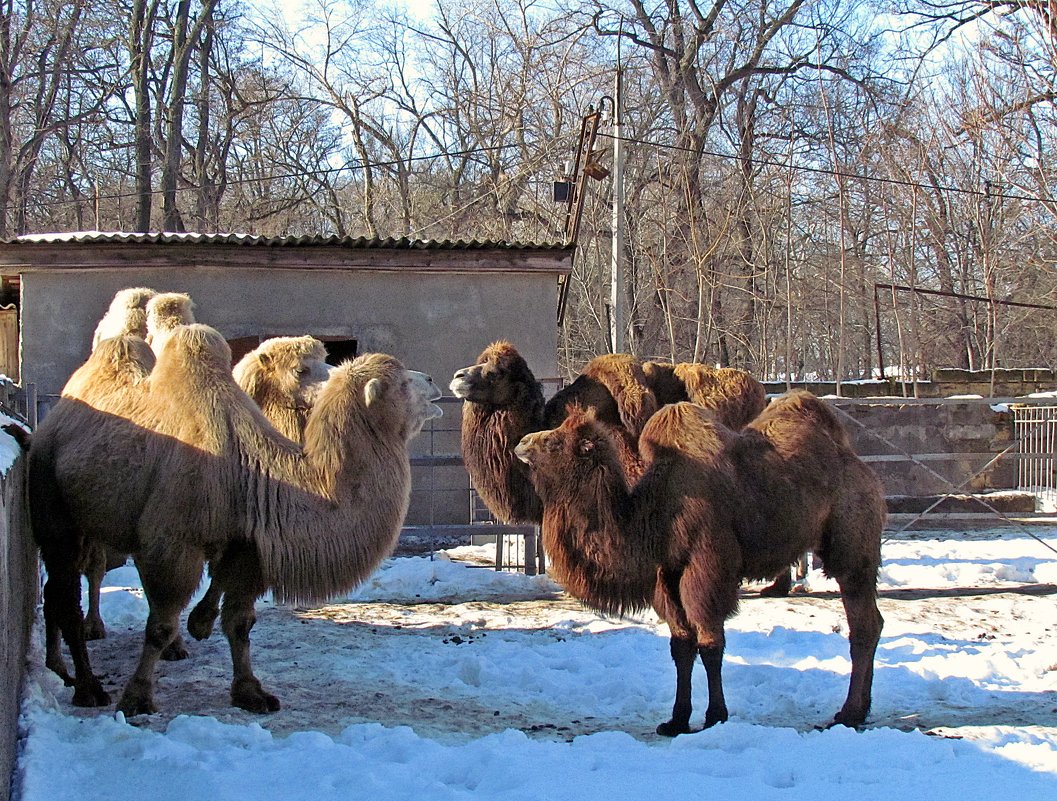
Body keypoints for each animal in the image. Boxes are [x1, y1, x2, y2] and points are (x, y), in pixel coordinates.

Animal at [29, 325, 441, 714]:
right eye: (403, 383)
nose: (433, 380)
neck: (252, 471)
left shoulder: (249, 550)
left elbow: (240, 623)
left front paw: (250, 691)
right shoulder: (173, 546)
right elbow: (161, 625)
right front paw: (137, 697)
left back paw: (66, 670)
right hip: (54, 505)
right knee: (65, 593)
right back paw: (86, 686)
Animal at [515, 393, 887, 735]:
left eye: (554, 441)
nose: (521, 443)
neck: (654, 515)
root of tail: (861, 467)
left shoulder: (705, 570)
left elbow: (710, 644)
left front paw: (715, 717)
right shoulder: (668, 574)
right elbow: (681, 645)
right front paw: (676, 720)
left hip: (853, 544)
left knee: (863, 620)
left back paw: (848, 714)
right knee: (872, 623)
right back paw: (860, 711)